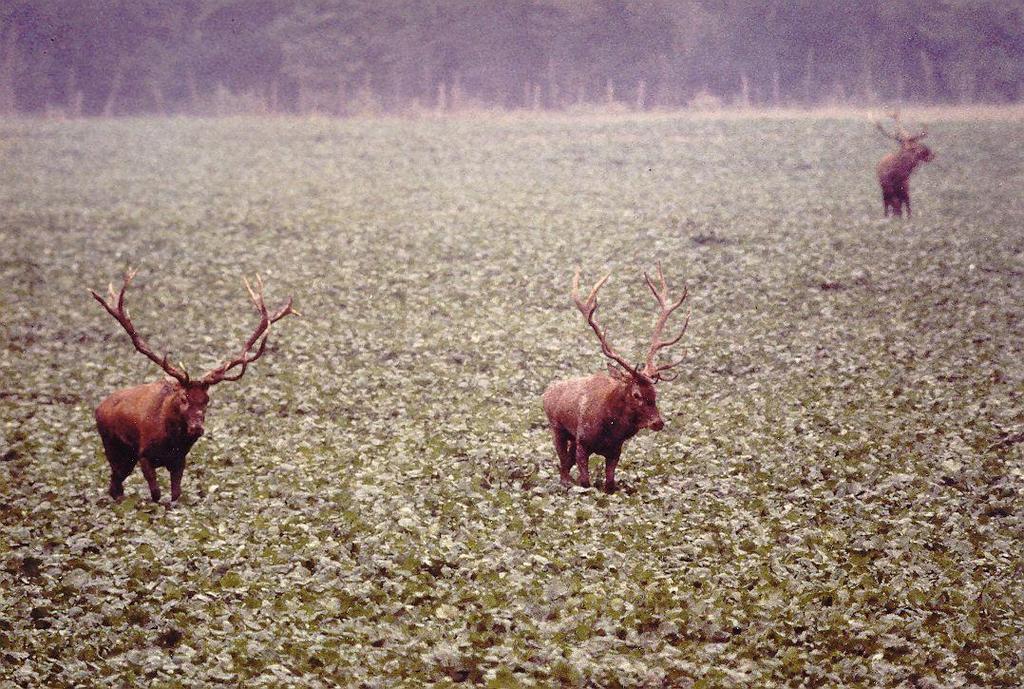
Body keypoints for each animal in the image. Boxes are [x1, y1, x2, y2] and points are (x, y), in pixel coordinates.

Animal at [88, 272, 299, 501]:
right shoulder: (144, 454)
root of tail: (99, 407)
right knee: (115, 484)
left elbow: (176, 494)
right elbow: (156, 494)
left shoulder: (179, 460)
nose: (197, 427)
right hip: (115, 449)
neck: (169, 441)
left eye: (206, 400)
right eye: (184, 398)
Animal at [540, 264, 692, 495]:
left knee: (565, 464)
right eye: (636, 394)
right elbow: (585, 482)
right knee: (563, 465)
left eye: (655, 393)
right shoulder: (583, 442)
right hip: (556, 427)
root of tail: (547, 391)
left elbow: (610, 484)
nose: (658, 422)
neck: (609, 428)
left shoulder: (615, 450)